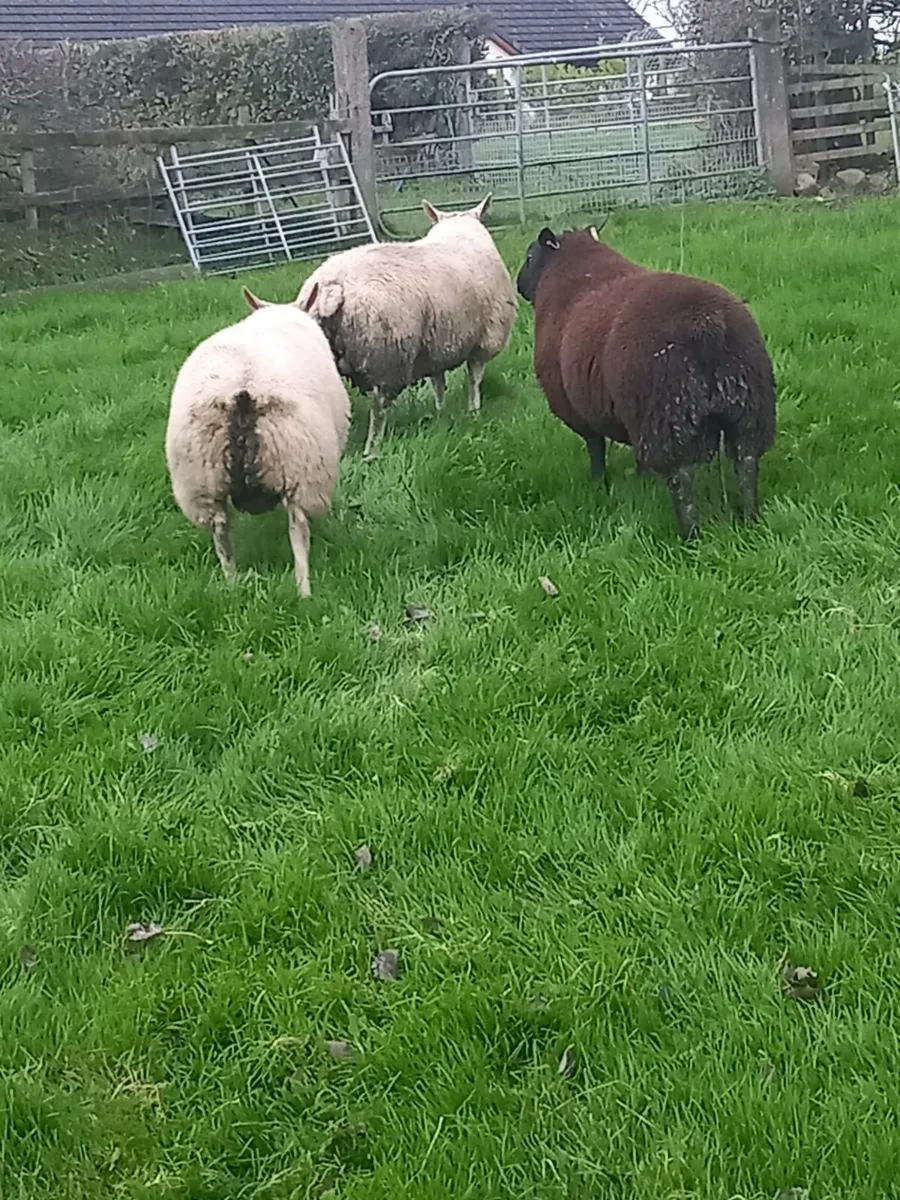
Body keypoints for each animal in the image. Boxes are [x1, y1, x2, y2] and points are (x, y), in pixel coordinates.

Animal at [165, 286, 351, 596]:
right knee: (298, 531)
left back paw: (232, 584)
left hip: (201, 480)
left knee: (221, 534)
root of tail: (242, 390)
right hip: (300, 468)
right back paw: (304, 591)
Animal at [296, 193, 517, 461]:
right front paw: (474, 412)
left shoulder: (435, 345)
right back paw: (371, 451)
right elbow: (474, 379)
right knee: (379, 410)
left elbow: (438, 383)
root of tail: (333, 286)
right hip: (386, 358)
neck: (459, 229)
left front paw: (441, 413)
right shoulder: (485, 339)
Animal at [515, 222, 776, 540]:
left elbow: (596, 448)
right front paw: (642, 480)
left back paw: (690, 535)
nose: (518, 286)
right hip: (750, 406)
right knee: (746, 461)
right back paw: (750, 518)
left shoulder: (578, 409)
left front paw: (599, 483)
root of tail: (707, 325)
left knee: (681, 478)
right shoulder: (630, 420)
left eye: (530, 256)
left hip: (666, 413)